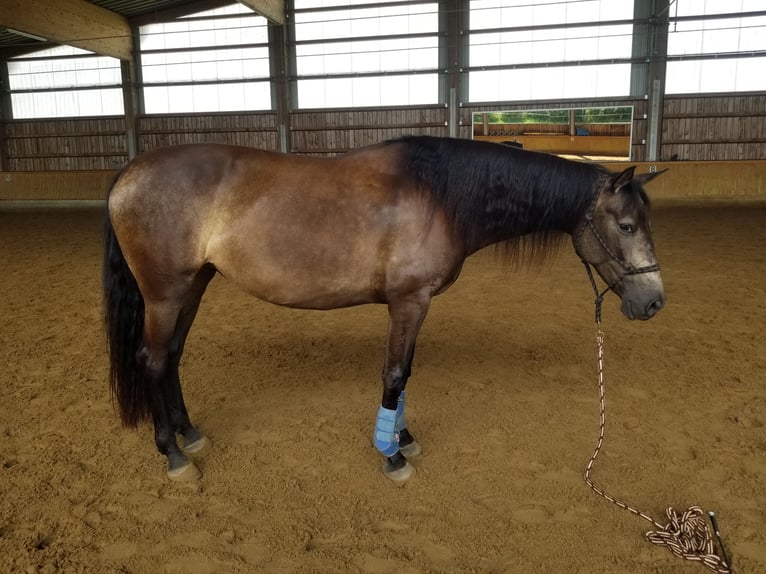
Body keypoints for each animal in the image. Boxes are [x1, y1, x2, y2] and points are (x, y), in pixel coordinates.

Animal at [102, 137, 664, 484]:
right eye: (627, 226)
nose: (654, 301)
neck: (440, 195)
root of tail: (128, 173)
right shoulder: (409, 301)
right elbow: (395, 373)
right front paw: (392, 456)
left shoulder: (413, 304)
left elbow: (406, 372)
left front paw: (404, 438)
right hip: (165, 294)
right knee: (153, 360)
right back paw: (174, 455)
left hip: (193, 286)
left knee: (173, 356)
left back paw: (190, 434)